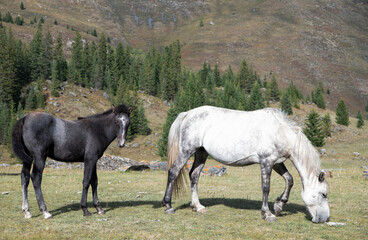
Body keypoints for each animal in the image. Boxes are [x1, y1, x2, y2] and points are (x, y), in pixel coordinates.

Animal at [162, 106, 330, 222]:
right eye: (323, 194)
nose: (324, 218)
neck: (280, 131)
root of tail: (187, 114)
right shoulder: (266, 162)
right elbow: (266, 188)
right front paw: (267, 213)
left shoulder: (276, 162)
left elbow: (289, 180)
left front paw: (279, 206)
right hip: (186, 150)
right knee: (173, 171)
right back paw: (168, 206)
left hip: (201, 153)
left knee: (194, 176)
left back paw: (197, 206)